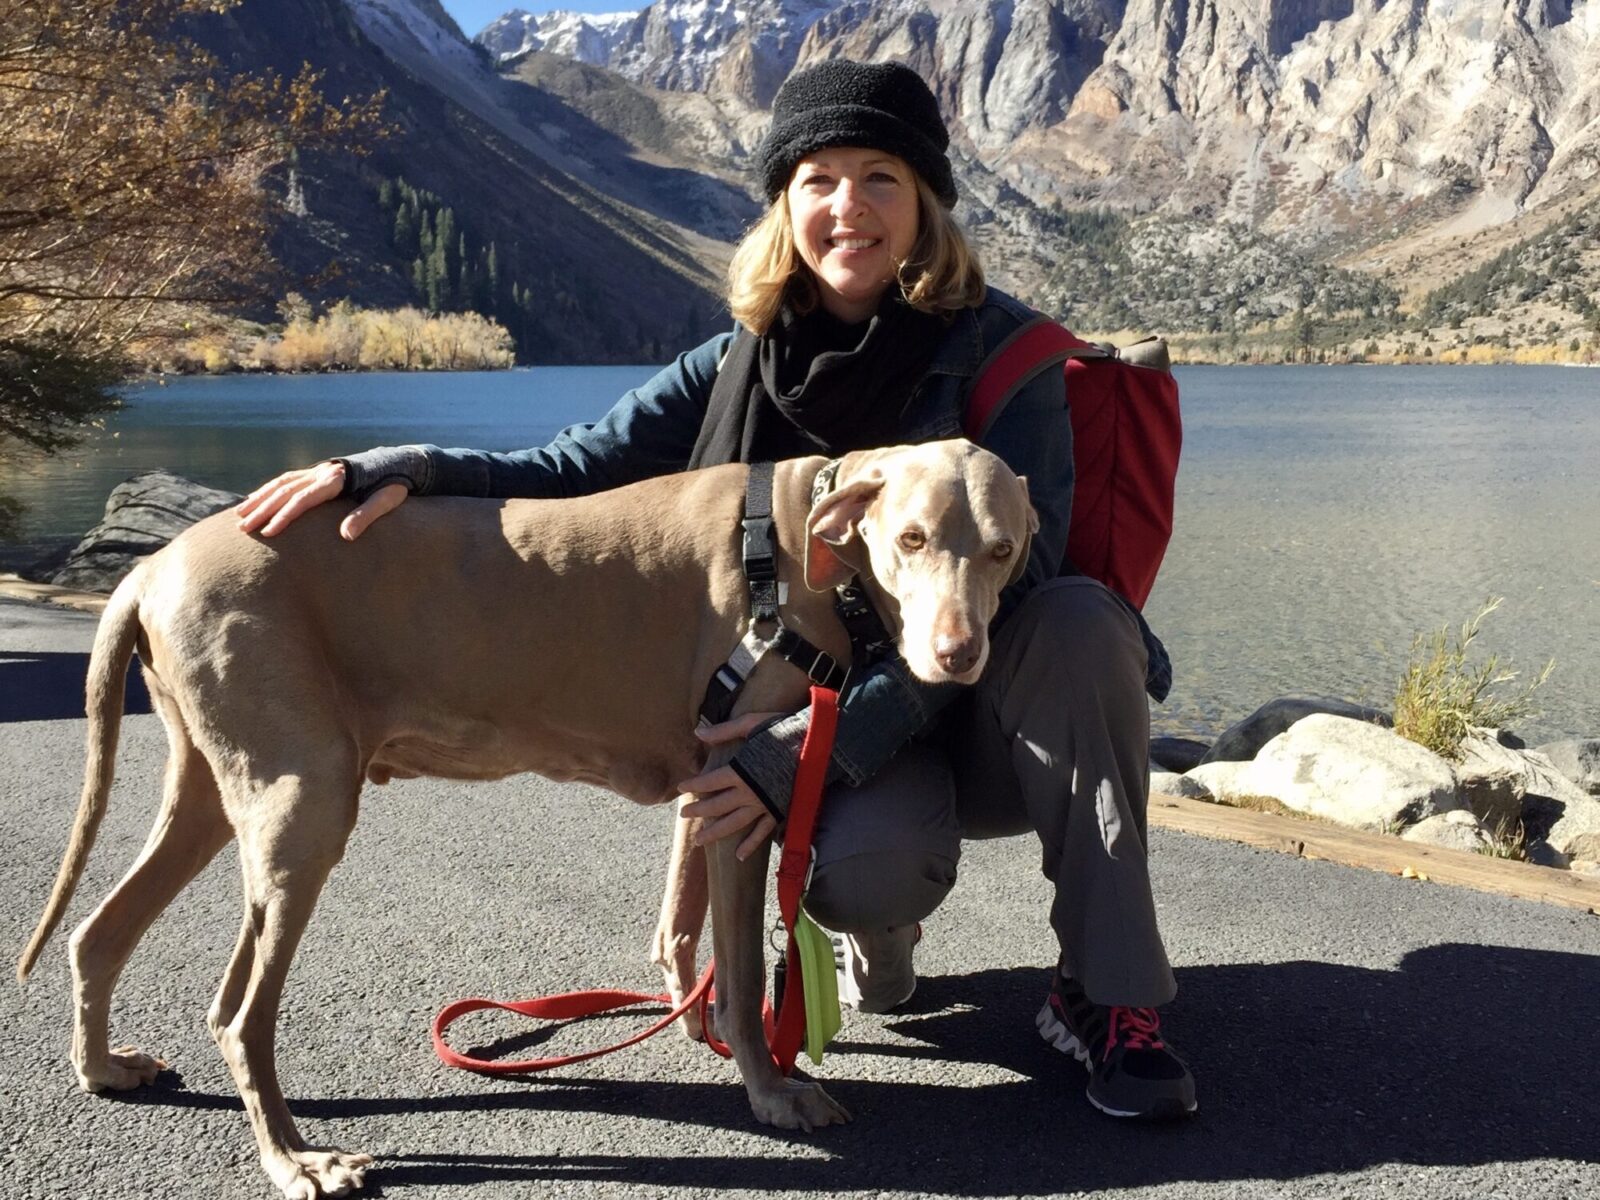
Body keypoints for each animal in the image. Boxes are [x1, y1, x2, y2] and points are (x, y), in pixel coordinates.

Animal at [18, 441, 1043, 1200]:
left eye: (1002, 549)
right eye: (911, 537)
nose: (958, 655)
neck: (805, 547)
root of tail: (150, 567)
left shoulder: (710, 791)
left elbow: (685, 932)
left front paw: (695, 1024)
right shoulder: (740, 799)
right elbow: (749, 971)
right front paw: (771, 1088)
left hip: (213, 785)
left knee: (97, 934)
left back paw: (101, 1066)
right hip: (302, 802)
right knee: (235, 1012)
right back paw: (296, 1159)